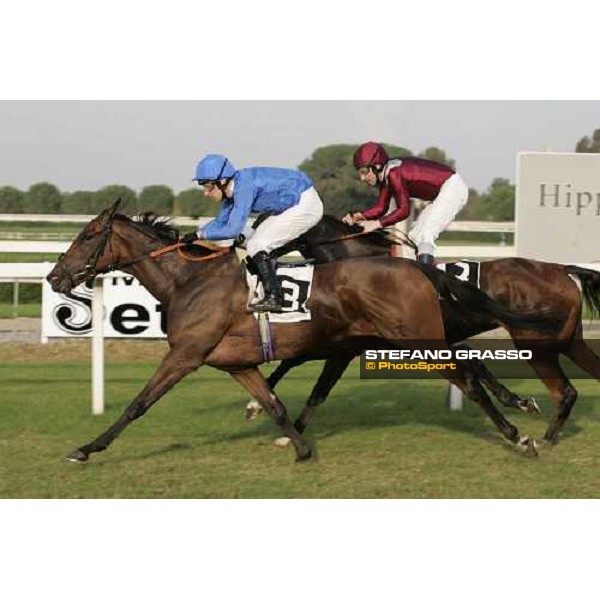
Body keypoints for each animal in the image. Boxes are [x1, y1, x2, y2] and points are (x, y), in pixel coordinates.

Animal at [44, 203, 556, 464]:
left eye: (87, 236)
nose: (54, 277)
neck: (189, 280)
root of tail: (416, 268)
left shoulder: (186, 354)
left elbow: (138, 403)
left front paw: (87, 448)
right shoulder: (240, 363)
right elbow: (274, 401)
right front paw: (301, 446)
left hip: (417, 340)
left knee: (468, 379)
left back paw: (519, 437)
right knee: (470, 368)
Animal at [250, 216, 600, 446]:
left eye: (263, 224)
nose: (249, 254)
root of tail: (563, 269)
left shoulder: (352, 344)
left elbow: (313, 381)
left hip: (537, 346)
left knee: (564, 391)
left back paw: (544, 440)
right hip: (570, 342)